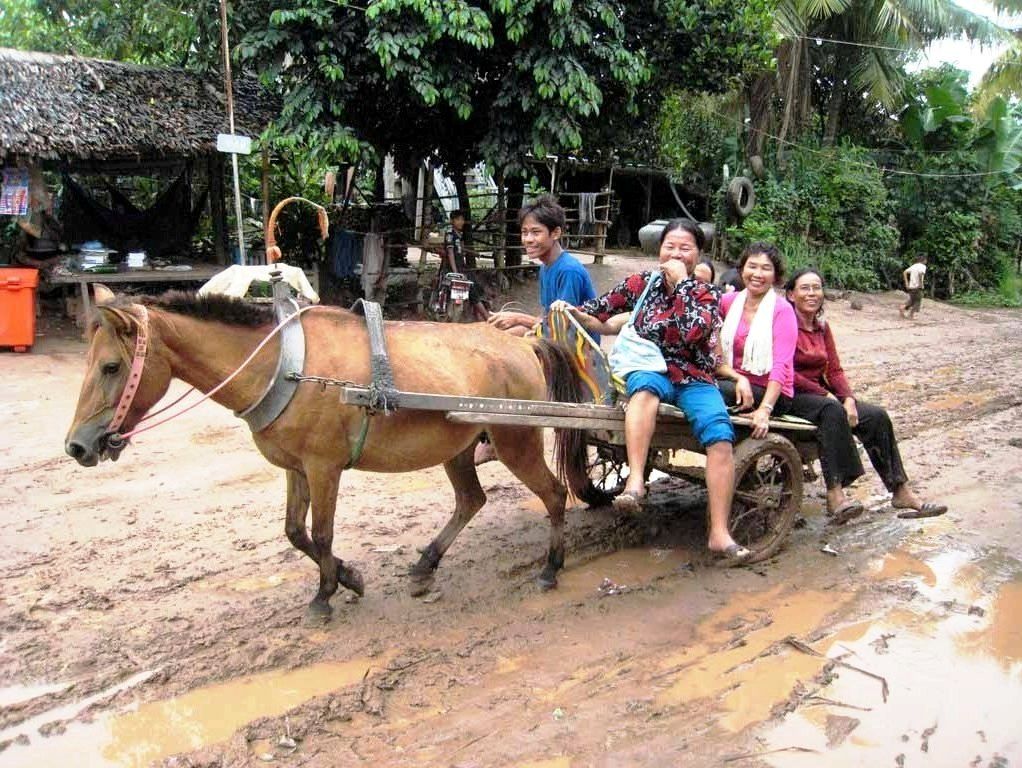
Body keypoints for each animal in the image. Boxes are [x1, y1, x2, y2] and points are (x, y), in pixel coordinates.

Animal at [63, 286, 592, 621]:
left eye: (111, 367)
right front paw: (349, 577)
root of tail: (523, 344)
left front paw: (325, 595)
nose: (77, 446)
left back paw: (551, 567)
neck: (283, 366)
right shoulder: (296, 468)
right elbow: (295, 532)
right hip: (460, 446)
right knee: (471, 501)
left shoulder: (324, 468)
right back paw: (426, 565)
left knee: (554, 494)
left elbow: (321, 533)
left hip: (514, 441)